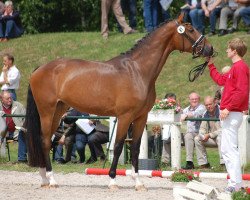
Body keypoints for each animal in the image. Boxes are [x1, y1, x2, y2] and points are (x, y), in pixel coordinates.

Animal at [25, 14, 213, 191]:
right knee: (45, 140)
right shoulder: (124, 116)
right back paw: (51, 179)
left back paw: (44, 179)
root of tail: (39, 69)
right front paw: (113, 180)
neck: (137, 71)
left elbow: (135, 148)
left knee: (47, 139)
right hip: (47, 111)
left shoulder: (141, 118)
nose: (210, 49)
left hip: (59, 110)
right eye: (190, 29)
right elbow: (117, 146)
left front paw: (138, 183)